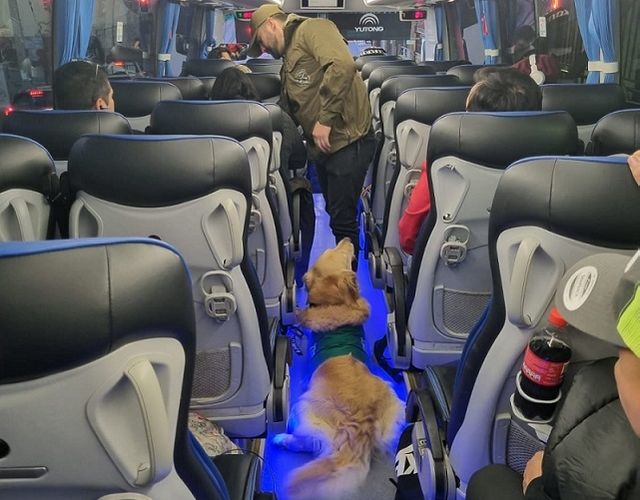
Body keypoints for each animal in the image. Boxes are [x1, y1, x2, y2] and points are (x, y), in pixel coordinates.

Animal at [276, 239, 404, 499]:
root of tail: (360, 425)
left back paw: (282, 438)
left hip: (301, 408)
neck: (338, 304)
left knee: (306, 443)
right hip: (396, 405)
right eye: (334, 250)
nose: (346, 239)